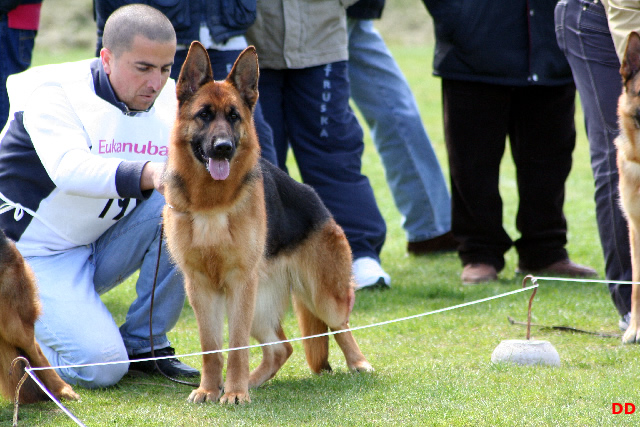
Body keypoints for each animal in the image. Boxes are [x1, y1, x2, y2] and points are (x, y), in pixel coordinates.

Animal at [162, 42, 376, 404]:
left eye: (234, 116)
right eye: (204, 114)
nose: (223, 148)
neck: (212, 202)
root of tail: (315, 199)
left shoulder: (238, 283)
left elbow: (236, 347)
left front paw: (235, 393)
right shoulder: (200, 287)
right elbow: (211, 347)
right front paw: (210, 390)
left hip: (316, 295)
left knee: (341, 325)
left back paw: (358, 364)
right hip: (258, 305)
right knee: (281, 349)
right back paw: (249, 382)